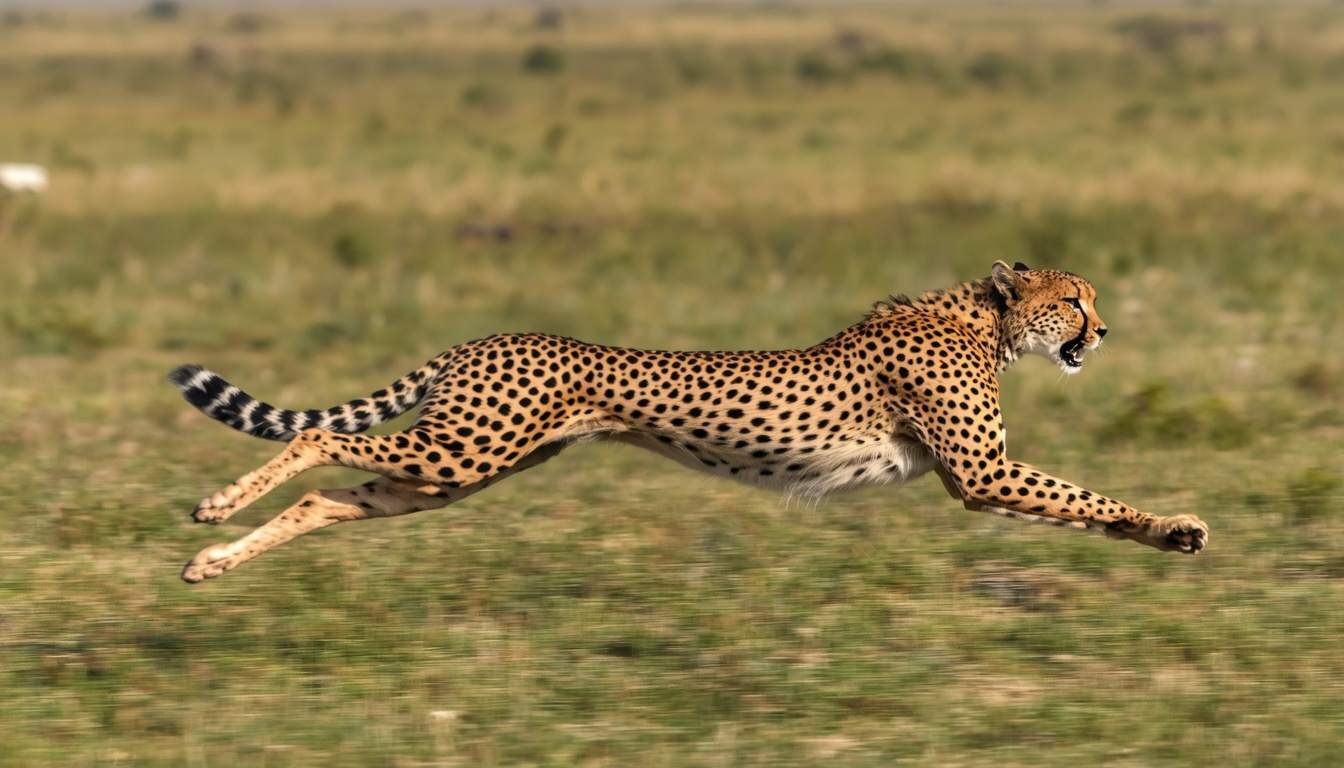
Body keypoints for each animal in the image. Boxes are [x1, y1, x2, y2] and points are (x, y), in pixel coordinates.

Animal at [170, 260, 1207, 583]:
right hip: (462, 448)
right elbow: (1084, 497)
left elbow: (1079, 501)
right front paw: (1175, 526)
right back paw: (213, 512)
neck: (981, 320)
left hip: (455, 470)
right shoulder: (983, 474)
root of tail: (485, 336)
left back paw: (212, 560)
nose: (1103, 331)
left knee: (336, 497)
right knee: (315, 436)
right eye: (1072, 299)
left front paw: (1167, 533)